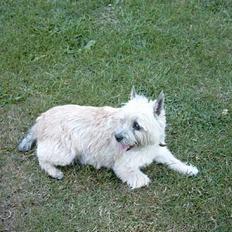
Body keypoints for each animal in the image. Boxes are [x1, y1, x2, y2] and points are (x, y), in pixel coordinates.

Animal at [19, 87, 198, 188]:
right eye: (122, 120)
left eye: (137, 126)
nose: (117, 137)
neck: (144, 145)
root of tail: (42, 118)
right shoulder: (123, 166)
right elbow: (143, 180)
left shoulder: (159, 151)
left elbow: (173, 160)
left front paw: (187, 168)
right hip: (64, 153)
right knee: (41, 157)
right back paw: (54, 171)